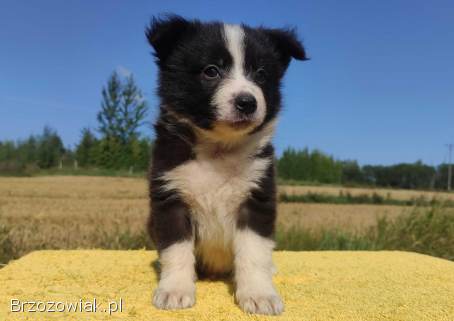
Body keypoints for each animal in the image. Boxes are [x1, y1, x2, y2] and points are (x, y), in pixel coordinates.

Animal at [147, 15, 306, 316]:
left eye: (261, 74)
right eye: (211, 71)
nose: (247, 102)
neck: (219, 148)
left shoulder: (257, 198)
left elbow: (254, 252)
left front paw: (259, 295)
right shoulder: (170, 196)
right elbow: (176, 250)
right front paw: (175, 290)